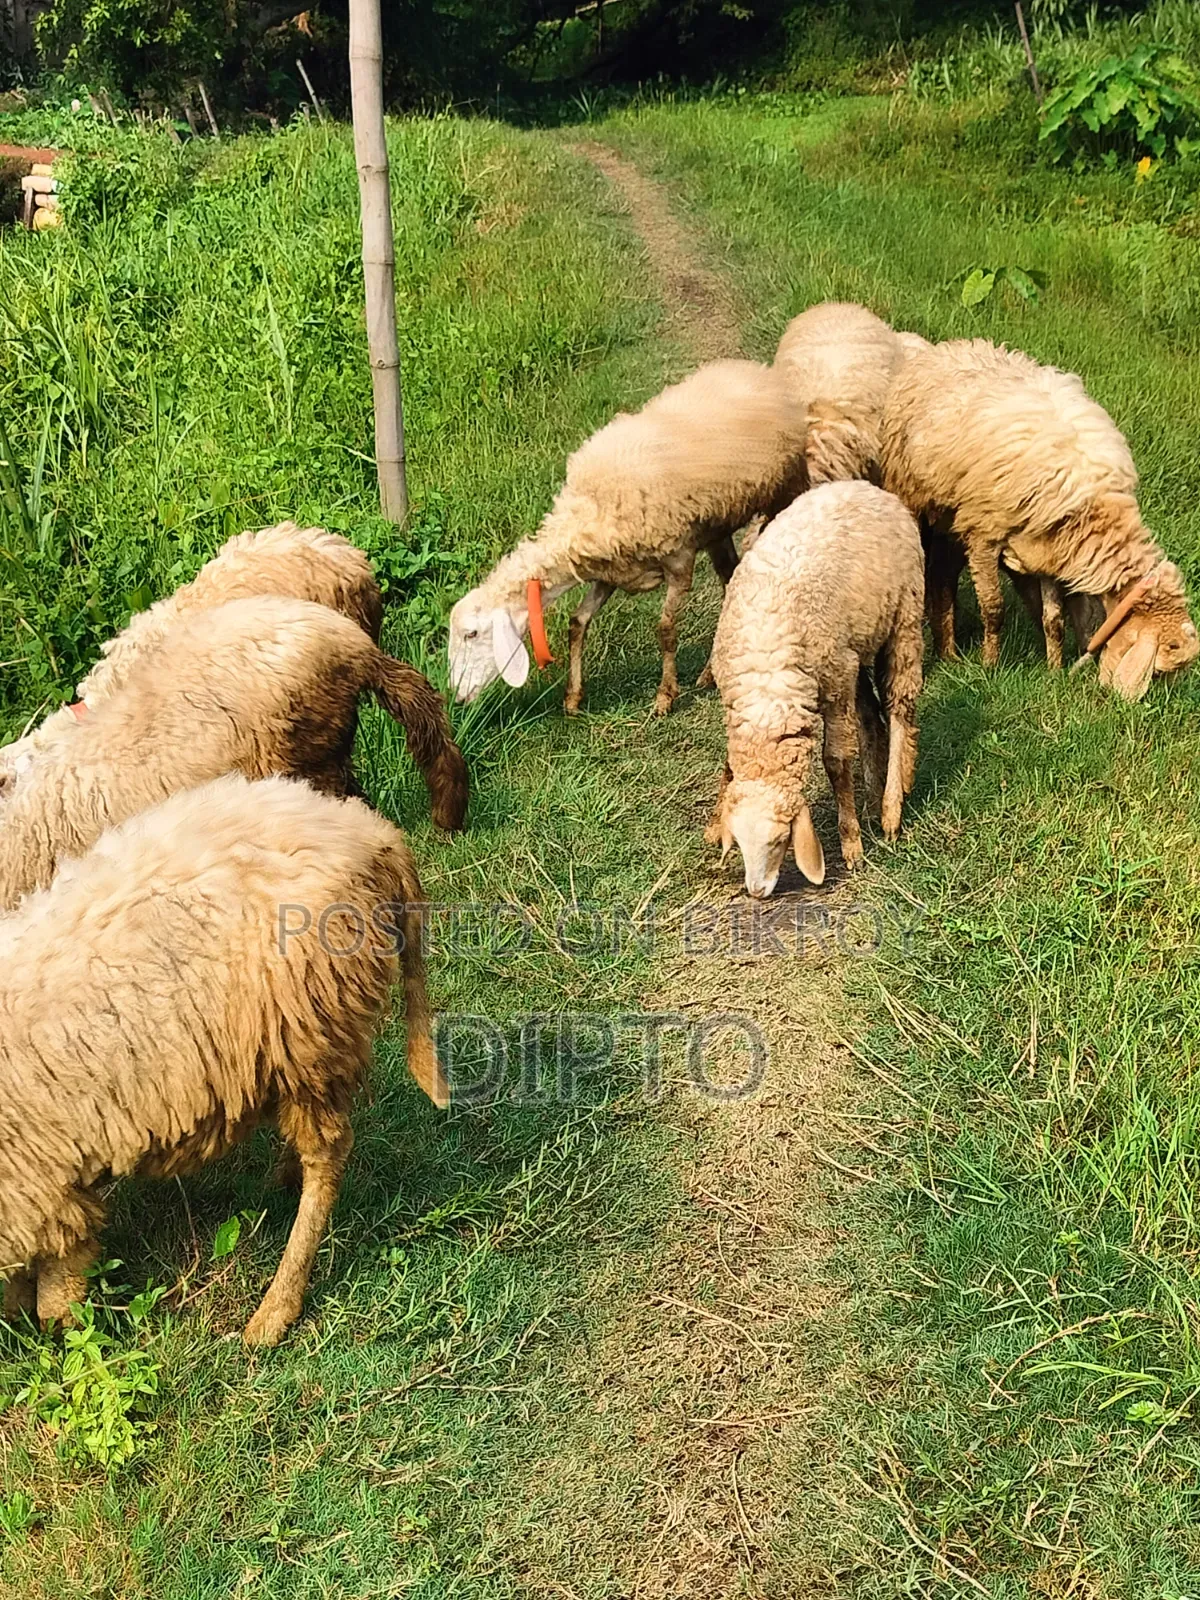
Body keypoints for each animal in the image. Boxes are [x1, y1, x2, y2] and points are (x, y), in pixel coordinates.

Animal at [0, 773, 444, 1346]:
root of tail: (368, 833)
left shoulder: (35, 1183)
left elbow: (59, 1283)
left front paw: (62, 1329)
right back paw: (280, 1182)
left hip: (307, 1025)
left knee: (328, 1153)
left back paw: (276, 1308)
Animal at [448, 359, 809, 717]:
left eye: (471, 634)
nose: (456, 695)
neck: (587, 509)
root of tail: (753, 370)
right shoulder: (610, 575)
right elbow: (577, 622)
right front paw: (573, 697)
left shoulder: (679, 561)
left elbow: (665, 629)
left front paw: (665, 695)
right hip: (716, 529)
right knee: (729, 582)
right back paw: (711, 671)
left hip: (786, 487)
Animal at [706, 480, 924, 899]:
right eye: (738, 843)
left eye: (780, 841)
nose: (756, 892)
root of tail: (863, 486)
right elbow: (728, 767)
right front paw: (713, 822)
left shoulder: (834, 689)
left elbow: (836, 763)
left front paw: (851, 844)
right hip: (852, 649)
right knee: (870, 716)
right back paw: (872, 795)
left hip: (903, 619)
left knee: (899, 709)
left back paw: (890, 809)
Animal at [883, 338, 1199, 696]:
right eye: (1161, 665)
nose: (1146, 701)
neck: (1095, 507)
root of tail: (954, 346)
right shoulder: (984, 534)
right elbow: (993, 608)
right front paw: (990, 665)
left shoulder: (1049, 555)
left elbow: (1054, 620)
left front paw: (1054, 669)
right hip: (916, 496)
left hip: (950, 521)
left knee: (942, 578)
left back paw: (948, 650)